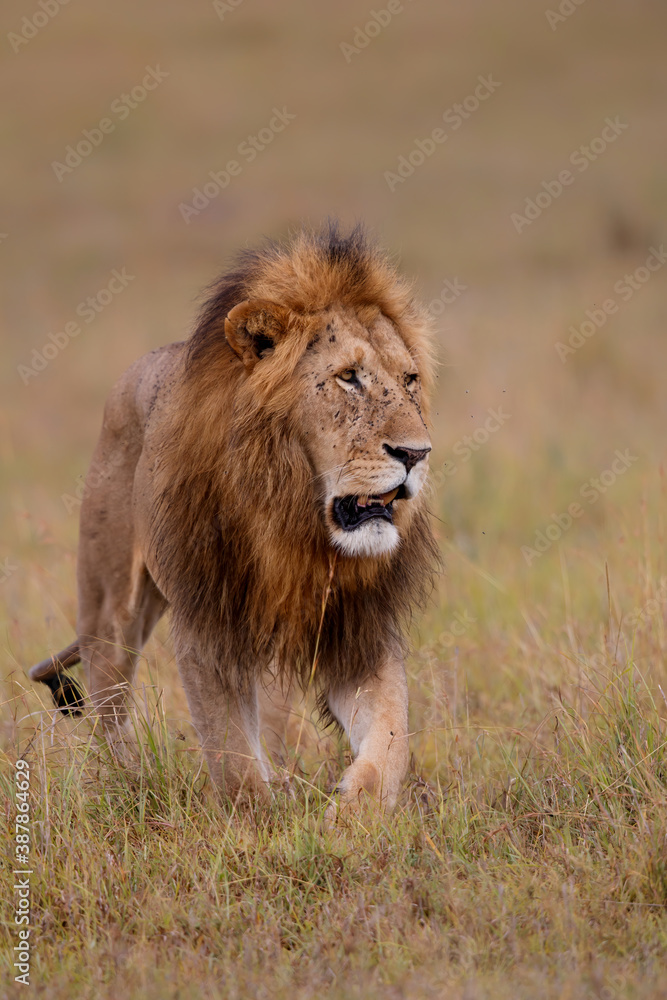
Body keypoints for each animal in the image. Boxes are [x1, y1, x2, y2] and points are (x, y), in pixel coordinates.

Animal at [29, 223, 439, 816]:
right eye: (349, 377)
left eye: (409, 380)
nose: (416, 453)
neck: (295, 520)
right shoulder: (208, 626)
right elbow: (231, 753)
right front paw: (260, 821)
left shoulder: (358, 628)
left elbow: (390, 738)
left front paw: (350, 816)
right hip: (109, 605)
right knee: (110, 702)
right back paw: (130, 784)